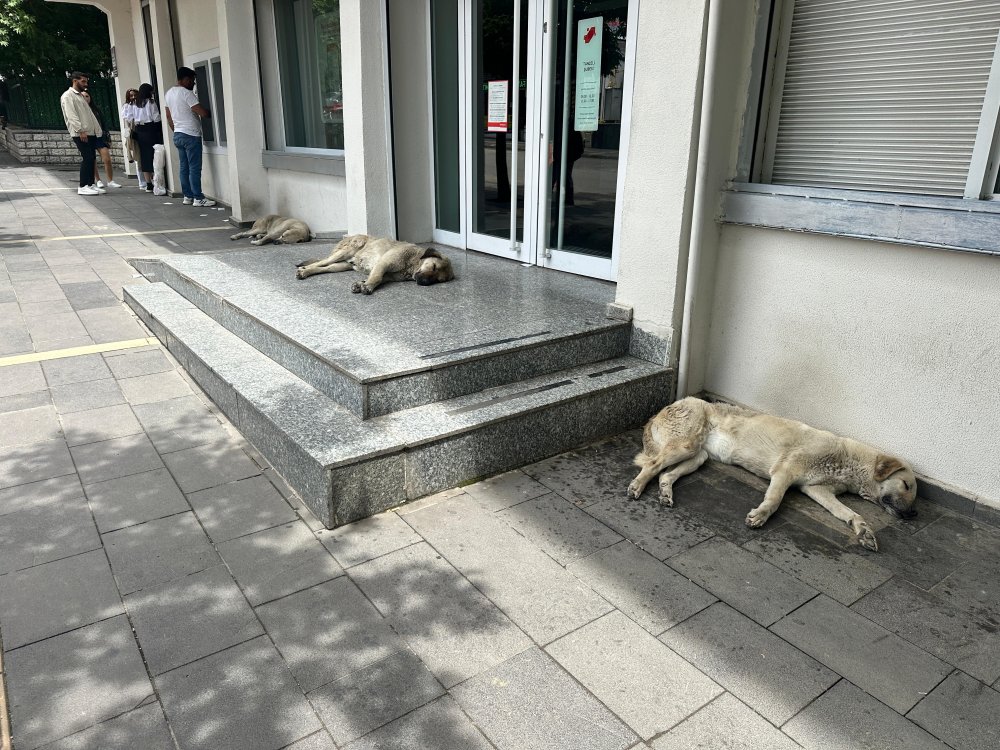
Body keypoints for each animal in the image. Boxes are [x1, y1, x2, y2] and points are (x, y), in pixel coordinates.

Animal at [292, 234, 458, 296]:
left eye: (438, 280)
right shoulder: (383, 263)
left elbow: (378, 279)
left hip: (342, 265)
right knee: (322, 262)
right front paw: (368, 286)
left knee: (326, 268)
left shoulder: (389, 275)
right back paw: (304, 270)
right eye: (433, 267)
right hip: (345, 252)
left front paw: (362, 284)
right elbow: (377, 277)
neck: (412, 262)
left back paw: (307, 271)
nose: (424, 283)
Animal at [628, 400, 916, 552]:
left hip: (698, 456)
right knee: (652, 465)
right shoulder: (785, 472)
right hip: (685, 445)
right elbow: (775, 499)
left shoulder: (818, 490)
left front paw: (863, 530)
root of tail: (668, 406)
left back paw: (665, 493)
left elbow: (849, 513)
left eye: (912, 492)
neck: (846, 461)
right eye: (906, 485)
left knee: (665, 474)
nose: (913, 515)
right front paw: (760, 516)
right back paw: (637, 486)